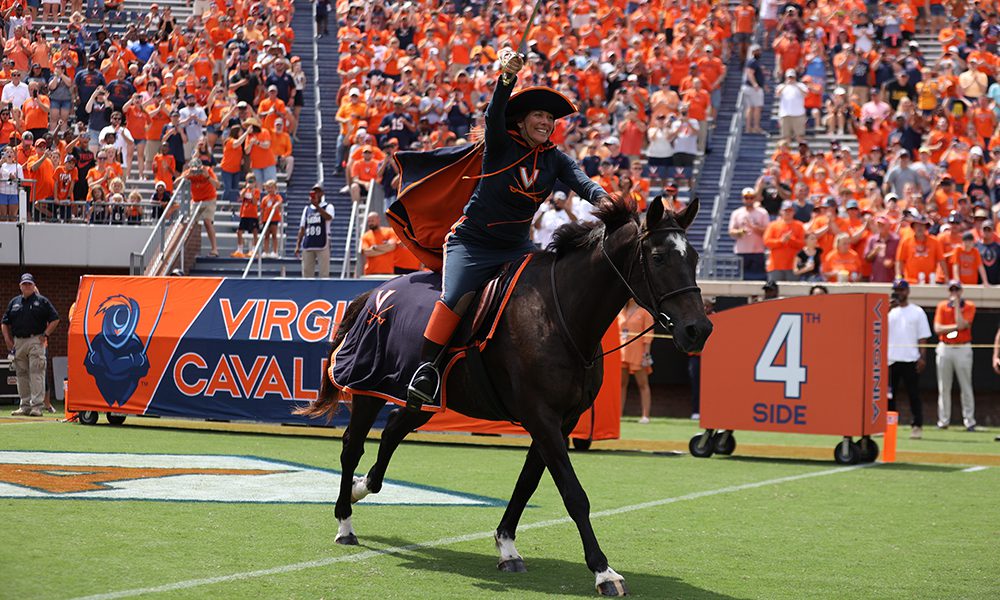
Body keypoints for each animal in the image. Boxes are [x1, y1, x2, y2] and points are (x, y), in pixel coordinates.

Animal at [299, 196, 713, 596]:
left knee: (392, 432)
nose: (699, 329)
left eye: (694, 258)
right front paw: (602, 571)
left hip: (425, 400)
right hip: (368, 390)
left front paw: (507, 546)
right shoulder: (541, 416)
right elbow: (573, 493)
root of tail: (374, 292)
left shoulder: (561, 422)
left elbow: (527, 483)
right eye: (658, 257)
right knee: (353, 447)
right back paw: (344, 522)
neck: (559, 314)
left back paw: (362, 488)